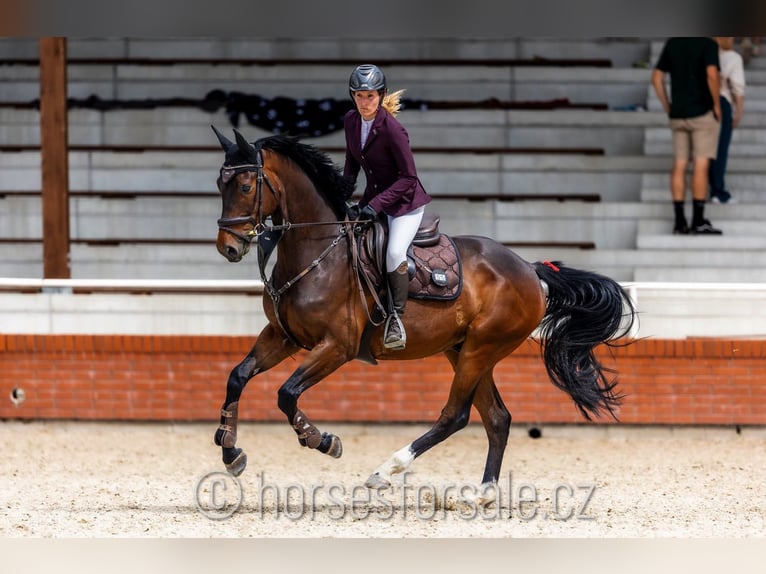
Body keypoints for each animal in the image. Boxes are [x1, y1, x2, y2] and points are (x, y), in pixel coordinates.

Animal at [213, 127, 640, 504]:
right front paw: (230, 452)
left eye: (246, 187)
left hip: (480, 349)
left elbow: (286, 394)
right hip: (463, 350)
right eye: (219, 183)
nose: (228, 248)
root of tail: (530, 270)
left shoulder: (337, 346)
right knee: (497, 418)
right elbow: (237, 376)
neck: (318, 252)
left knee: (455, 415)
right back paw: (482, 494)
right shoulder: (283, 336)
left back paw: (386, 470)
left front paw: (322, 440)